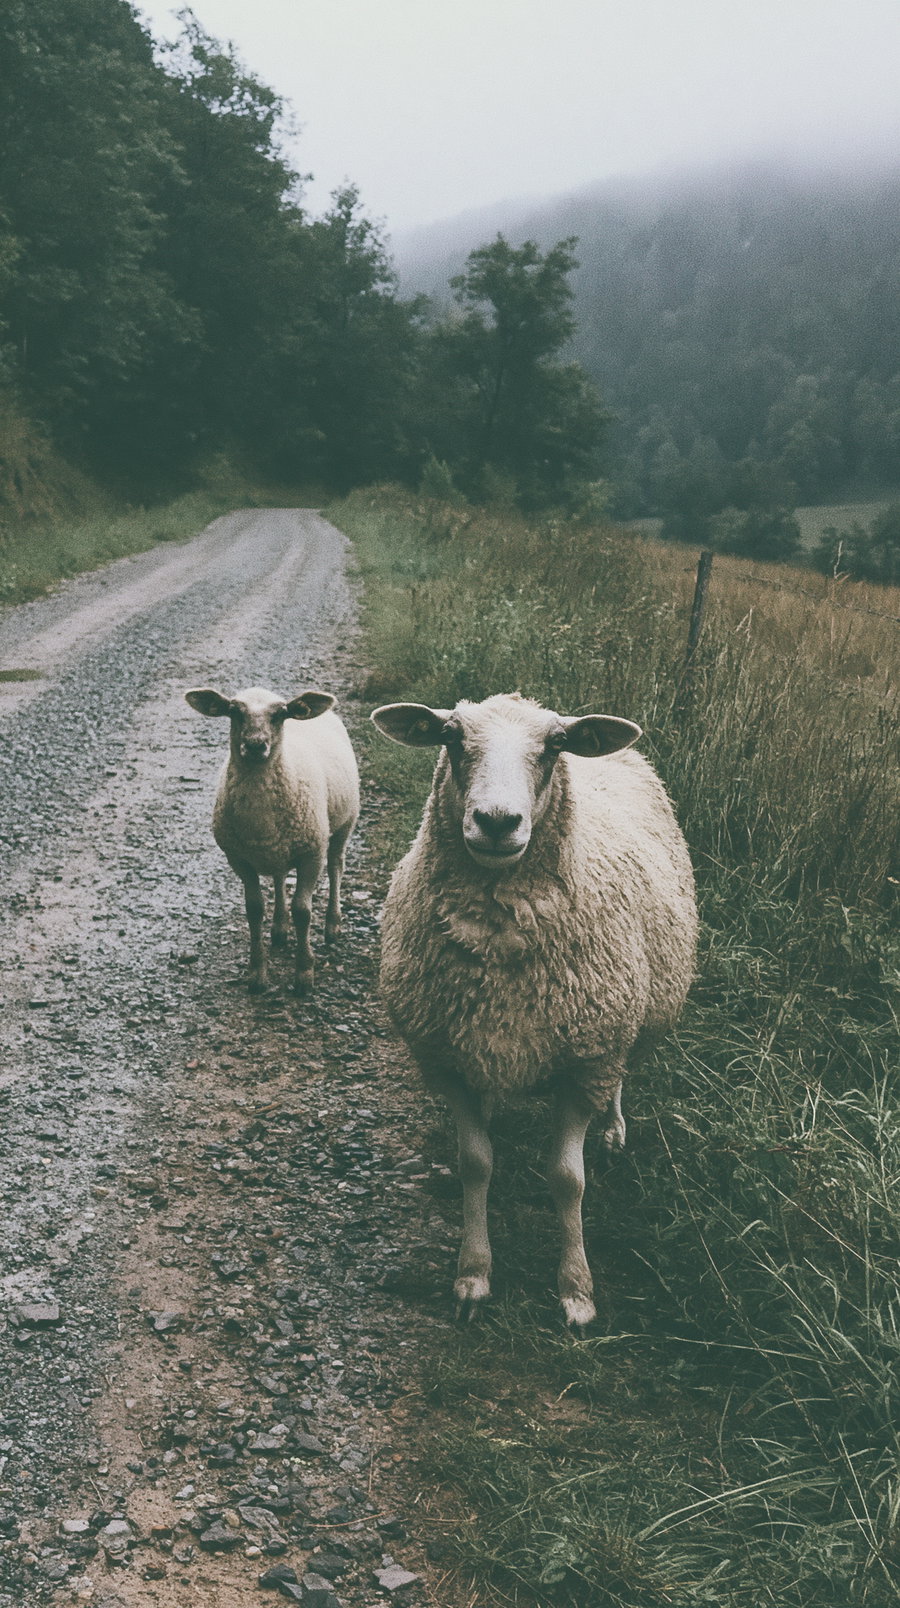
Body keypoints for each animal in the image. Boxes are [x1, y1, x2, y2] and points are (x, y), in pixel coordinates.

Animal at [186, 685, 359, 994]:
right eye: (234, 712)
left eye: (280, 715)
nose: (256, 745)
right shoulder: (238, 859)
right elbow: (254, 911)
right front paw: (257, 973)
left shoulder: (312, 854)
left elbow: (303, 911)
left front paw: (304, 974)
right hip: (280, 845)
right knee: (279, 878)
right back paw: (279, 928)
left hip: (344, 823)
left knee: (336, 867)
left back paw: (332, 925)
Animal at [371, 692, 697, 1328]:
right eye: (450, 738)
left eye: (553, 747)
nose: (497, 822)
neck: (499, 934)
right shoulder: (447, 1060)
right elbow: (476, 1163)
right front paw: (473, 1276)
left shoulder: (585, 1060)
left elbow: (567, 1179)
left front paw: (576, 1290)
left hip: (627, 1026)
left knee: (622, 1075)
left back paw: (612, 1129)